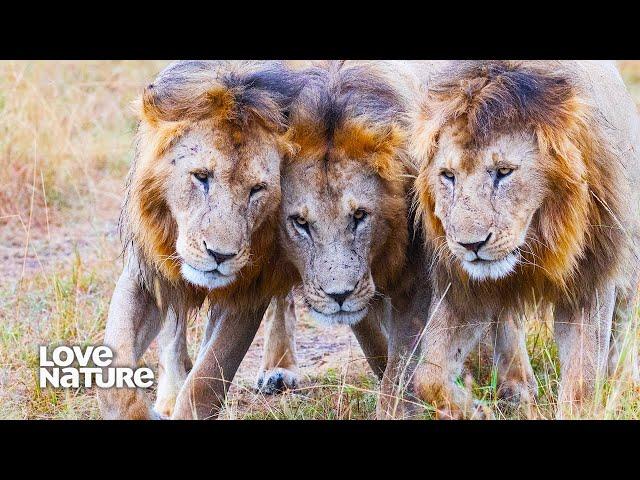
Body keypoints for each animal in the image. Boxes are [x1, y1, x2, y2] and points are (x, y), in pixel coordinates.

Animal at [410, 61, 640, 420]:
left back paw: (622, 379)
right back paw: (517, 387)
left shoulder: (591, 279)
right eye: (448, 176)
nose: (470, 245)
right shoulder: (464, 286)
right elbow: (428, 377)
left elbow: (582, 382)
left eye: (504, 171)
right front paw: (478, 410)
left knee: (624, 321)